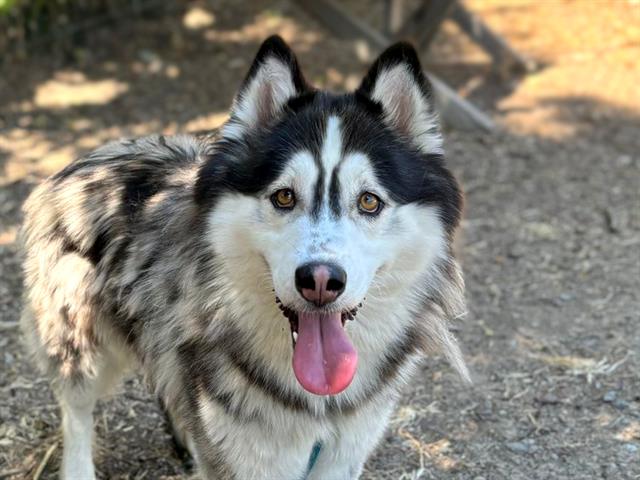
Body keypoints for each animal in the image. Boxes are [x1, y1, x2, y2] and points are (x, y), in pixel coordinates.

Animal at [21, 35, 470, 478]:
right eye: (284, 196)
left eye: (369, 201)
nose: (320, 280)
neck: (317, 402)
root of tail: (90, 156)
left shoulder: (345, 453)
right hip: (79, 342)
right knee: (76, 410)